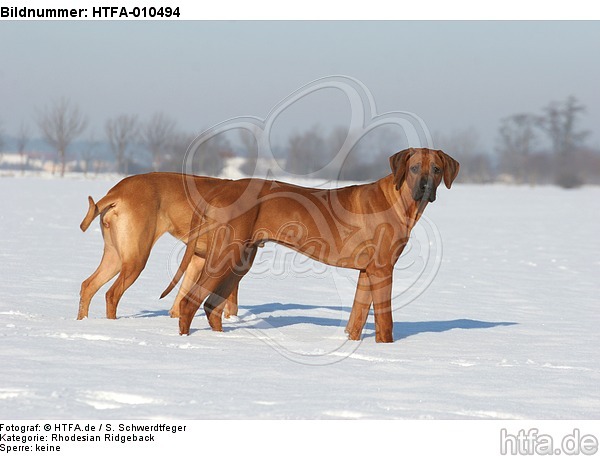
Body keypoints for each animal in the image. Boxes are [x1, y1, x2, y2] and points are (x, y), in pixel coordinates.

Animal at [78, 172, 241, 320]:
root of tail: (117, 192)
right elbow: (231, 303)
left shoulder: (197, 260)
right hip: (136, 260)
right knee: (112, 294)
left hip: (115, 257)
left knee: (88, 286)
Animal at [164, 148, 460, 344]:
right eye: (414, 168)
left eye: (436, 169)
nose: (425, 187)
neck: (400, 202)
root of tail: (221, 189)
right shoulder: (382, 270)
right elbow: (385, 323)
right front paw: (386, 349)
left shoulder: (367, 272)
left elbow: (356, 318)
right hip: (225, 254)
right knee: (189, 303)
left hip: (240, 259)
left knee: (212, 306)